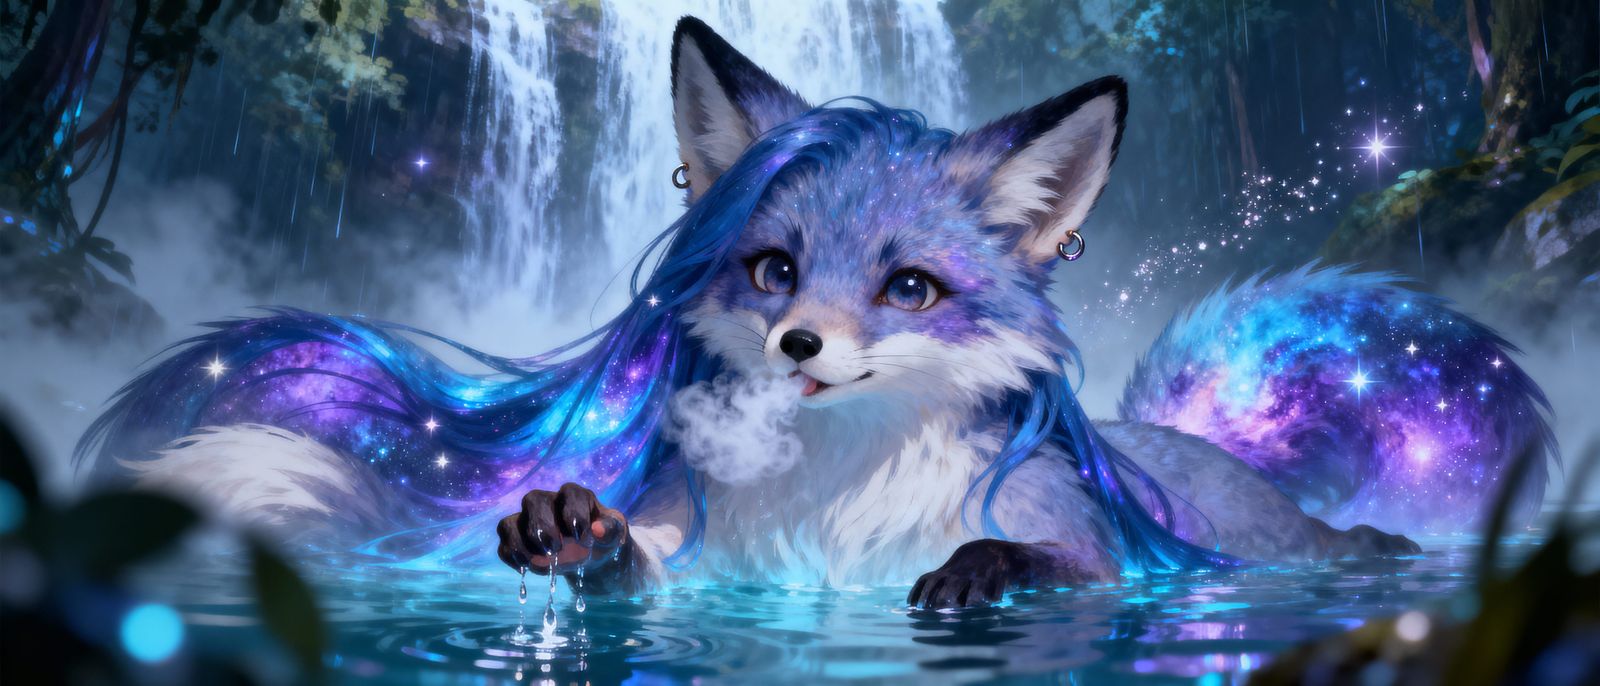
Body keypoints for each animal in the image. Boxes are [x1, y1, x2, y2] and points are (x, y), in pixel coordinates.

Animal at [78, 17, 1552, 610]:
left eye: (908, 287)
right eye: (775, 270)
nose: (801, 346)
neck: (840, 509)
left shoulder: (1103, 554)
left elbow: (1050, 560)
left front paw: (978, 572)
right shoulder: (721, 557)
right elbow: (643, 562)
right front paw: (577, 534)